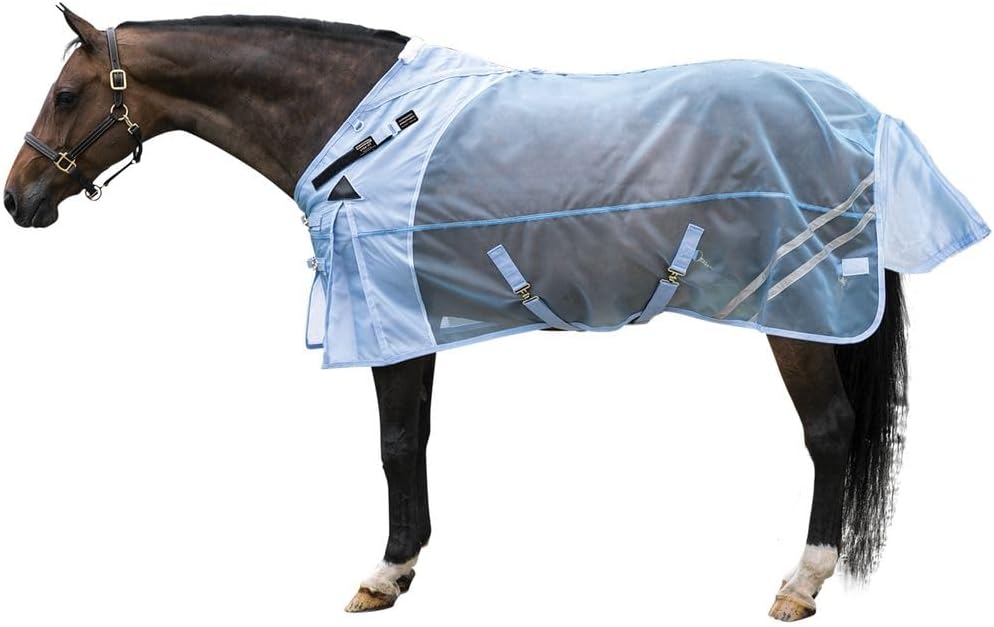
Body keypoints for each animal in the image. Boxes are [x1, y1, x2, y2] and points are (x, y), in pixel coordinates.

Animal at [3, 7, 985, 621]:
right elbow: (419, 439)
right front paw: (407, 562)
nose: (18, 199)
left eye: (65, 94)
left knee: (829, 431)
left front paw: (384, 572)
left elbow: (394, 442)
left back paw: (800, 581)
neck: (358, 126)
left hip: (798, 313)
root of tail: (862, 116)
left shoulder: (386, 317)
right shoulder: (418, 318)